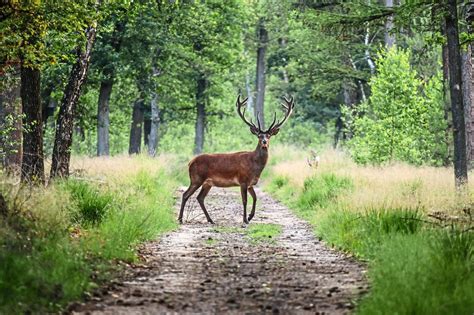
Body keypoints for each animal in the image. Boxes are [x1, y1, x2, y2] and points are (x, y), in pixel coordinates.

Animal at [178, 95, 294, 226]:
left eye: (268, 135)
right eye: (259, 136)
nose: (264, 142)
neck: (254, 166)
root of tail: (190, 162)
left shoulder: (250, 183)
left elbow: (255, 198)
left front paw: (250, 217)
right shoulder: (243, 180)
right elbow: (245, 200)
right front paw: (245, 220)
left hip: (207, 183)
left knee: (200, 197)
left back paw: (211, 220)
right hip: (196, 178)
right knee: (185, 194)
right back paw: (180, 219)